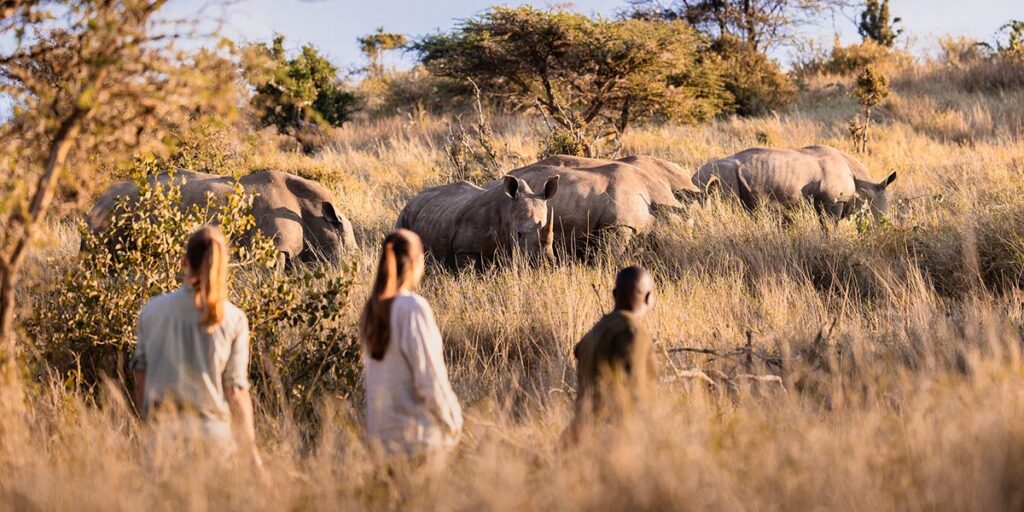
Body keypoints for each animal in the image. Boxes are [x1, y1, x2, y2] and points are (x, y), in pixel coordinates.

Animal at [395, 175, 560, 269]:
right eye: (518, 234)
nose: (546, 263)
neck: (507, 210)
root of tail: (412, 200)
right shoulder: (465, 249)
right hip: (404, 219)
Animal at [693, 145, 897, 220]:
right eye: (878, 209)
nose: (882, 225)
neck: (863, 184)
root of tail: (694, 175)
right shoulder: (833, 202)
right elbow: (830, 228)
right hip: (720, 176)